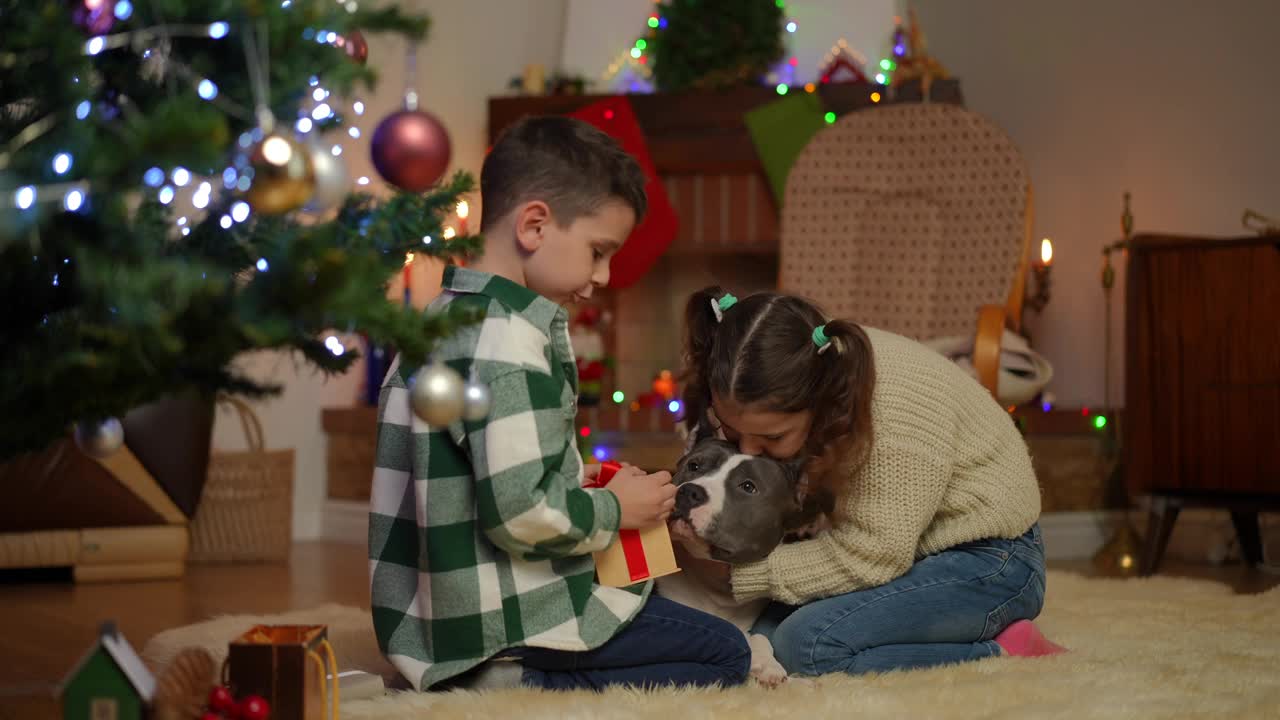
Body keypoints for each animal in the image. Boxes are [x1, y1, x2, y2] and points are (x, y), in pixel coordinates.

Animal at [655, 430, 834, 681]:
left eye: (748, 486)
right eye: (694, 465)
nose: (690, 492)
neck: (713, 587)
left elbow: (758, 636)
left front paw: (769, 665)